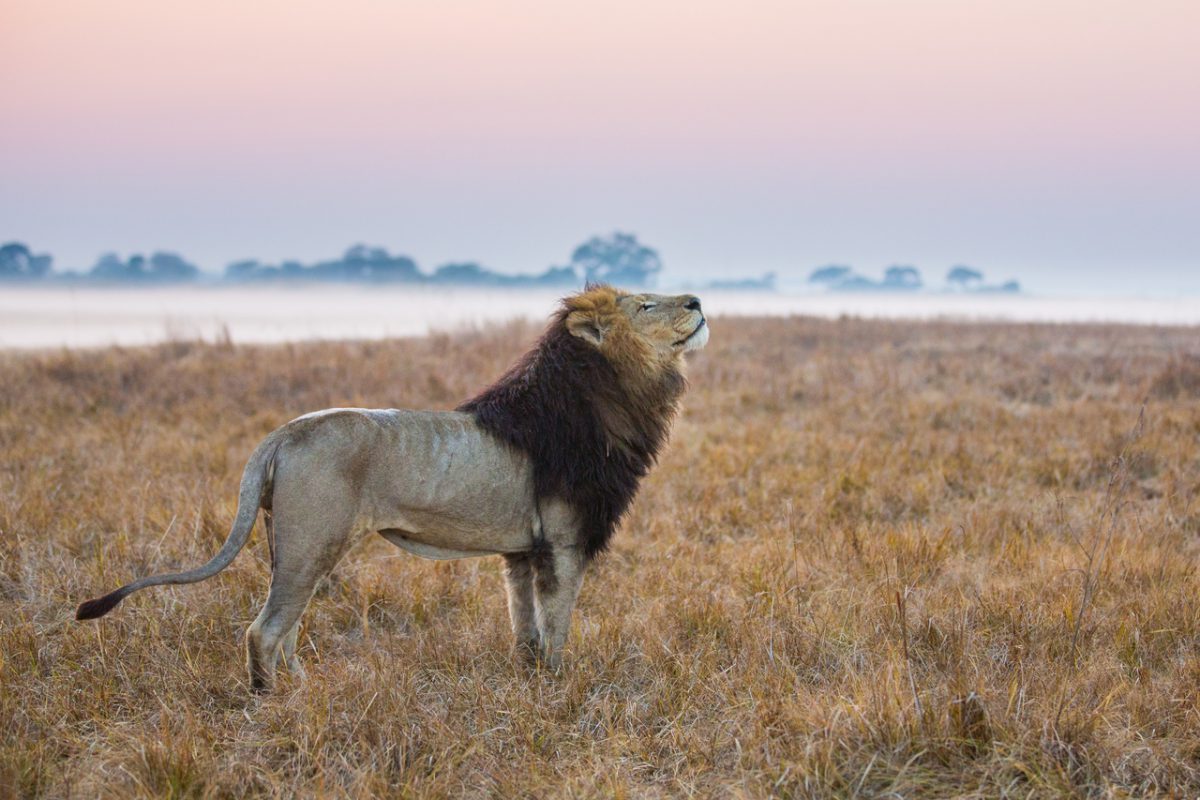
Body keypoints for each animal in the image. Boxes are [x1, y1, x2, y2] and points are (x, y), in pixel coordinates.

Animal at [75, 286, 700, 690]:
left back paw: (307, 691)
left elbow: (526, 629)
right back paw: (272, 703)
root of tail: (283, 433)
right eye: (647, 304)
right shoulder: (564, 545)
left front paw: (529, 682)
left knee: (285, 629)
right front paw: (561, 690)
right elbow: (559, 628)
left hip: (293, 544)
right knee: (263, 631)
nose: (696, 301)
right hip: (314, 541)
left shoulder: (523, 551)